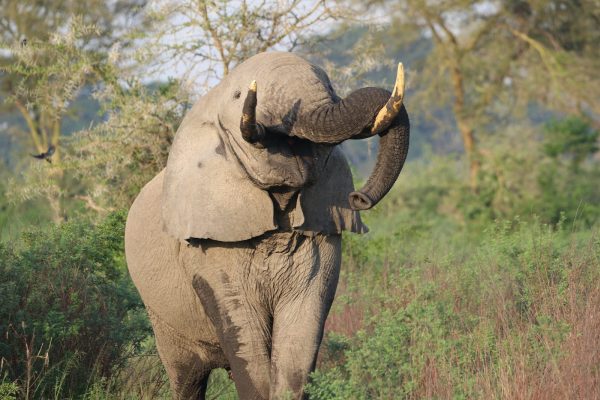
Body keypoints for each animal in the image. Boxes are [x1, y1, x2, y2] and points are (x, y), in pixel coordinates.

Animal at [124, 51, 410, 398]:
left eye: (329, 86)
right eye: (239, 96)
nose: (359, 197)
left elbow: (297, 350)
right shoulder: (212, 249)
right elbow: (246, 340)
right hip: (162, 315)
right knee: (187, 377)